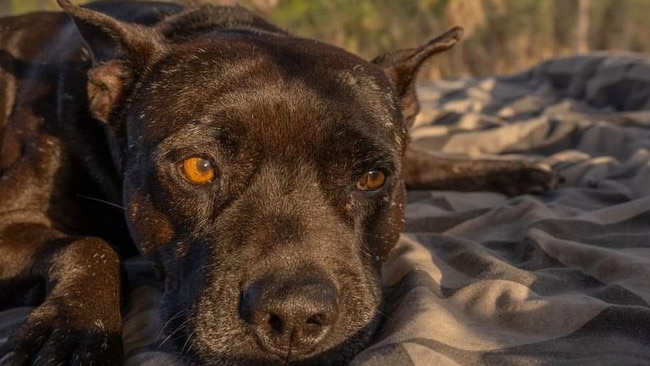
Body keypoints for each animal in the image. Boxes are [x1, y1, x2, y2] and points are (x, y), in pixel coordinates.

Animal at [0, 1, 556, 364]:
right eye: (199, 167)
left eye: (373, 177)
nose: (293, 317)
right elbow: (91, 246)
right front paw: (76, 331)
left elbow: (422, 157)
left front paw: (514, 168)